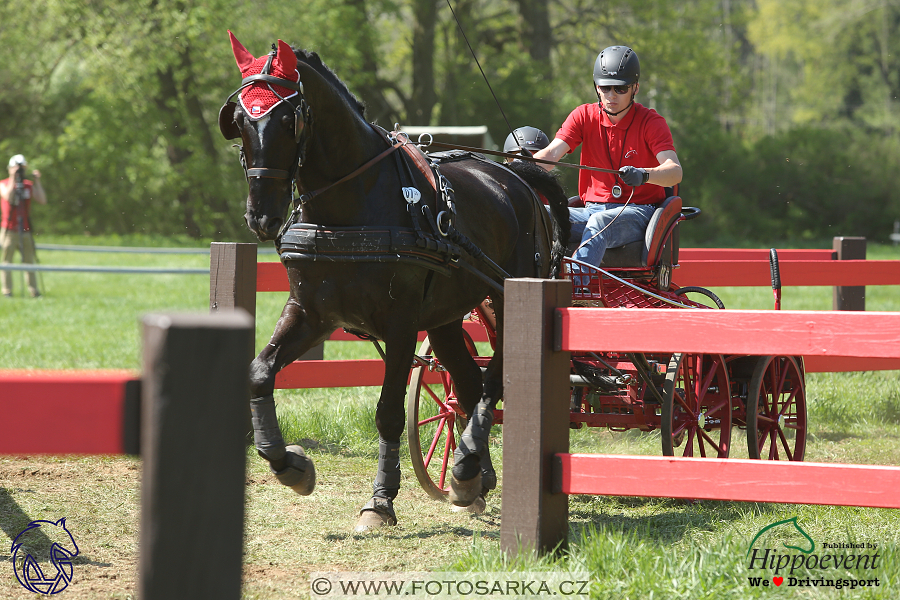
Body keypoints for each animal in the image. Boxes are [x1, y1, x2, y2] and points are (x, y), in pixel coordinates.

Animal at [220, 32, 568, 528]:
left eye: (288, 119)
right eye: (240, 122)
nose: (261, 216)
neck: (353, 203)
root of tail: (512, 176)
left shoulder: (401, 324)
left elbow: (387, 413)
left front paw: (380, 500)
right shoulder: (311, 312)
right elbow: (259, 373)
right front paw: (290, 465)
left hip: (510, 295)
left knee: (493, 380)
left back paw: (466, 464)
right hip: (446, 316)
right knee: (467, 383)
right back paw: (474, 475)